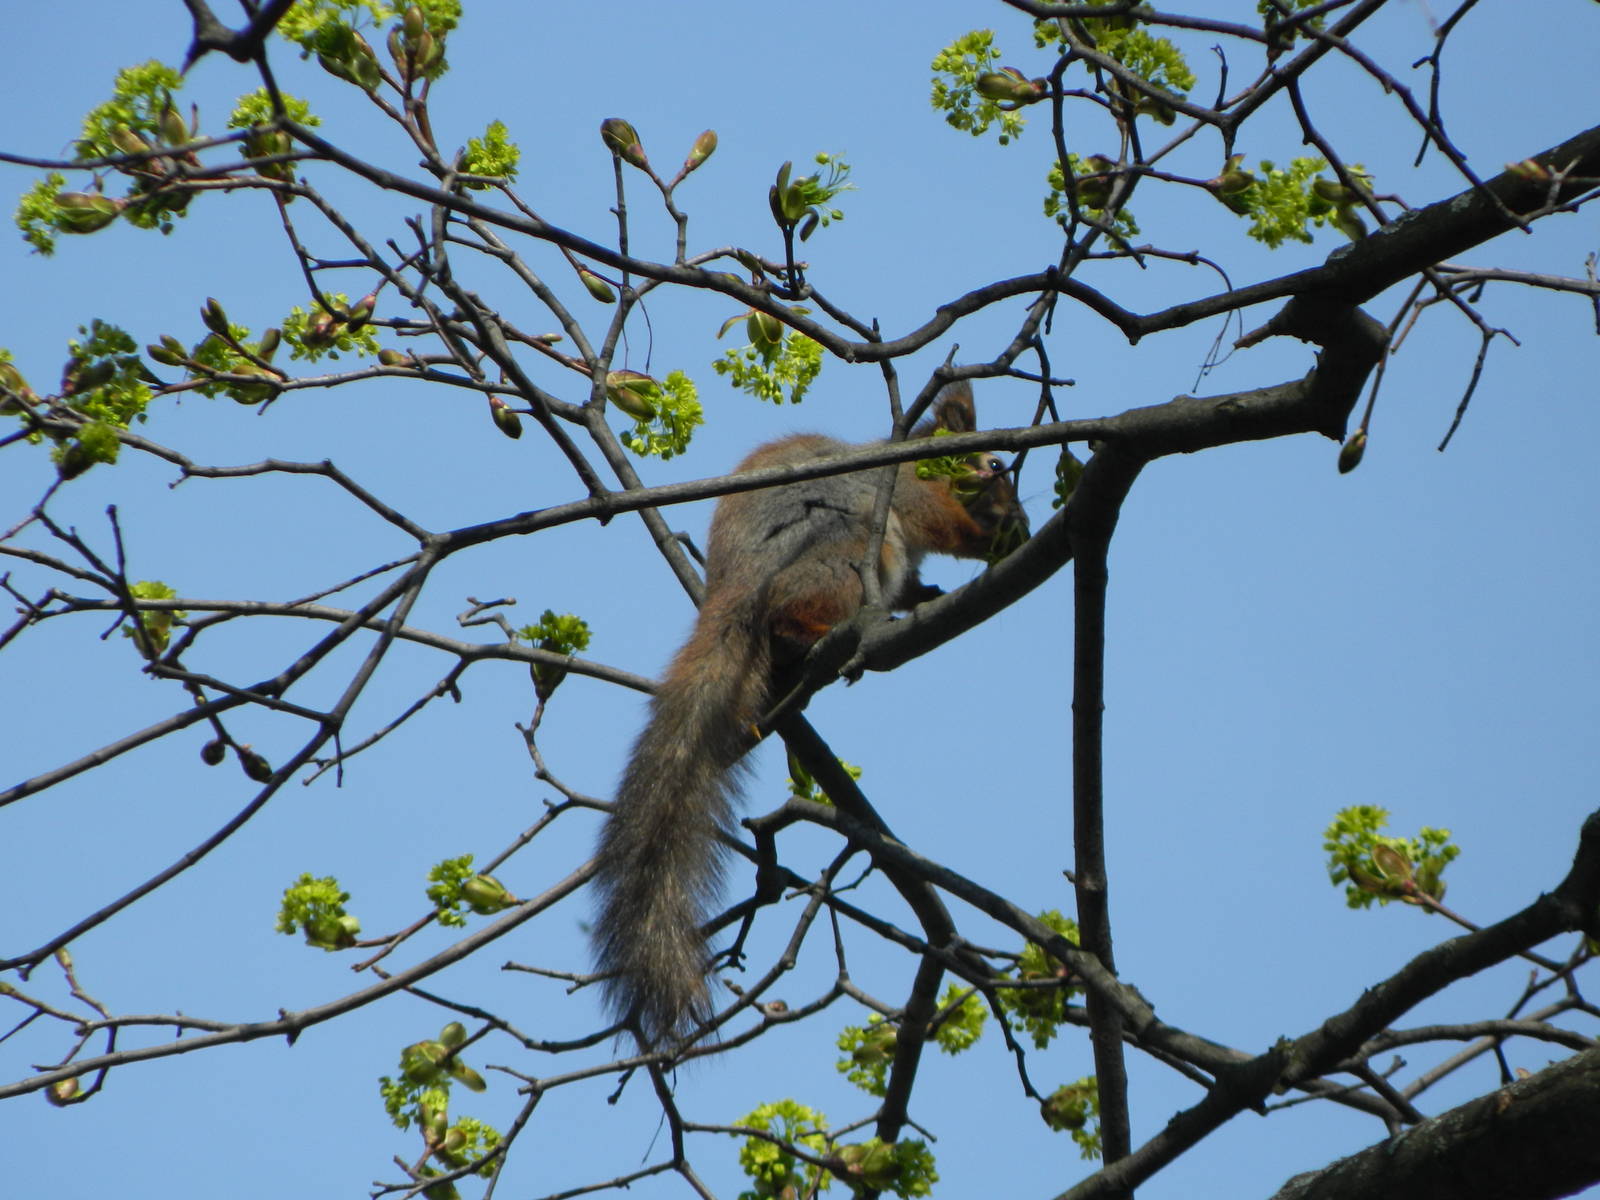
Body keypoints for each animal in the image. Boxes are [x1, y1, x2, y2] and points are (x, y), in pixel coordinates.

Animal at [590, 381, 1028, 1046]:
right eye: (994, 465)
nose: (1020, 525)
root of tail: (737, 588)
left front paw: (928, 591)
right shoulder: (912, 494)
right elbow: (942, 523)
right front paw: (984, 544)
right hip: (846, 547)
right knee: (793, 614)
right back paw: (820, 635)